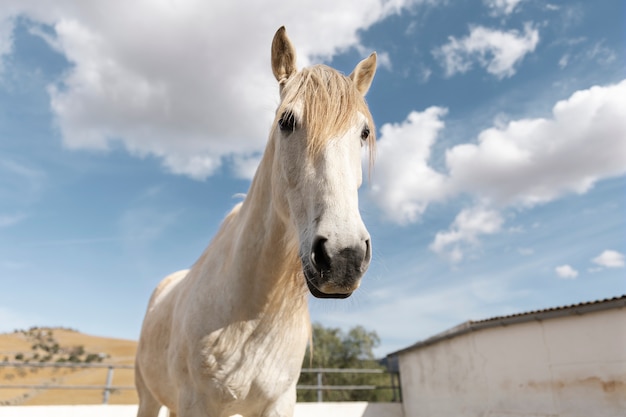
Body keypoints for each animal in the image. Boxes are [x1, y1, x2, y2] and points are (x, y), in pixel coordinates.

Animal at [135, 26, 376, 416]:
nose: (344, 256)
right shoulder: (196, 404)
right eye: (286, 122)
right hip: (149, 398)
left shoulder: (279, 402)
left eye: (364, 133)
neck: (250, 311)